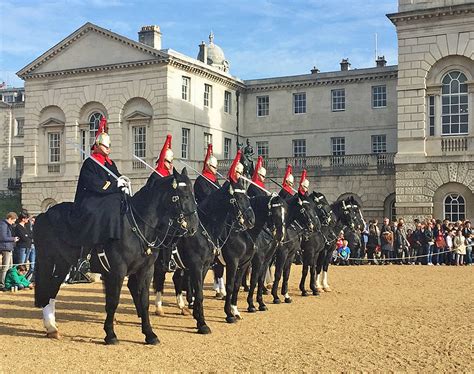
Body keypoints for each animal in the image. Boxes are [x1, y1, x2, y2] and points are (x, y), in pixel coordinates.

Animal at [34, 168, 198, 344]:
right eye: (183, 195)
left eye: (193, 194)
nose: (193, 227)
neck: (138, 226)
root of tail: (44, 214)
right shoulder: (117, 271)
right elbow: (113, 301)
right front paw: (110, 334)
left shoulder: (145, 270)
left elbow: (144, 301)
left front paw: (149, 334)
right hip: (49, 261)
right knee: (48, 288)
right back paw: (51, 326)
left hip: (62, 263)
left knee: (52, 289)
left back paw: (52, 327)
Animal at [154, 180, 254, 334]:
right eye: (238, 197)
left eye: (247, 195)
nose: (251, 220)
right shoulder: (225, 263)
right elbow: (223, 287)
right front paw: (205, 322)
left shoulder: (210, 266)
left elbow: (228, 287)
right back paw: (159, 307)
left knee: (174, 279)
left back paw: (181, 307)